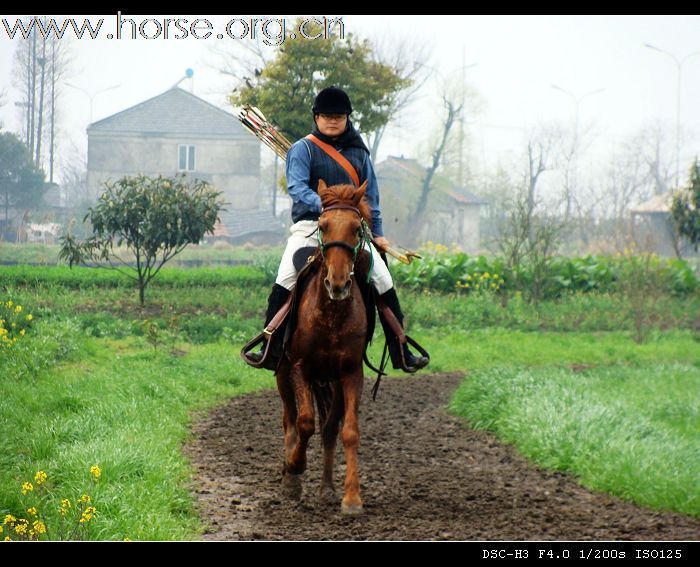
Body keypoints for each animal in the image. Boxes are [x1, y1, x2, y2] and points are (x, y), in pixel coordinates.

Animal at [274, 180, 372, 516]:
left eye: (356, 228)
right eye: (323, 225)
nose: (338, 284)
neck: (331, 316)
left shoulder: (350, 373)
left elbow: (349, 431)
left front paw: (352, 498)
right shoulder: (300, 368)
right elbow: (304, 423)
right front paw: (294, 466)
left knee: (329, 429)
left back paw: (327, 487)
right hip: (283, 375)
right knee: (290, 420)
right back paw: (290, 476)